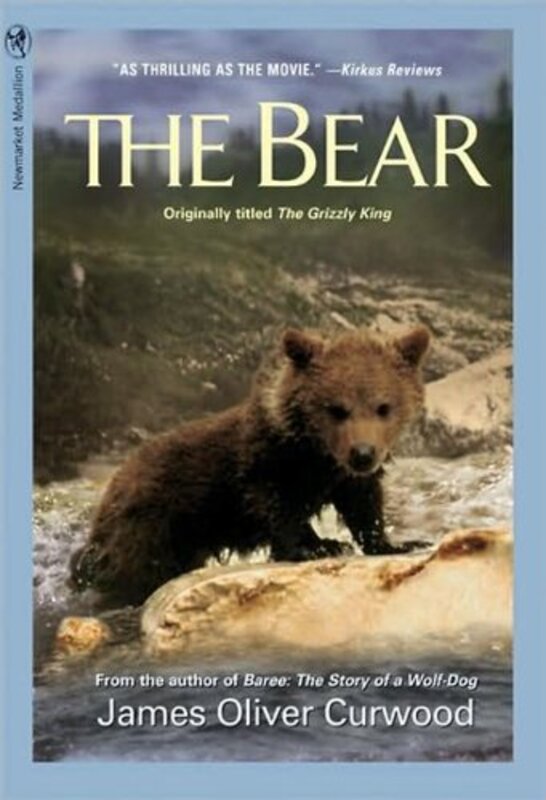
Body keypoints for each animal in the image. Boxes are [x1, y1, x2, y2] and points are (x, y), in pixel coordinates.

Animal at [70, 324, 430, 605]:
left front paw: (399, 543)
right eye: (336, 408)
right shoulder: (265, 465)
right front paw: (317, 545)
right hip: (149, 528)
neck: (312, 452)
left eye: (383, 407)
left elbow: (363, 505)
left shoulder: (343, 477)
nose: (363, 453)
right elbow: (277, 509)